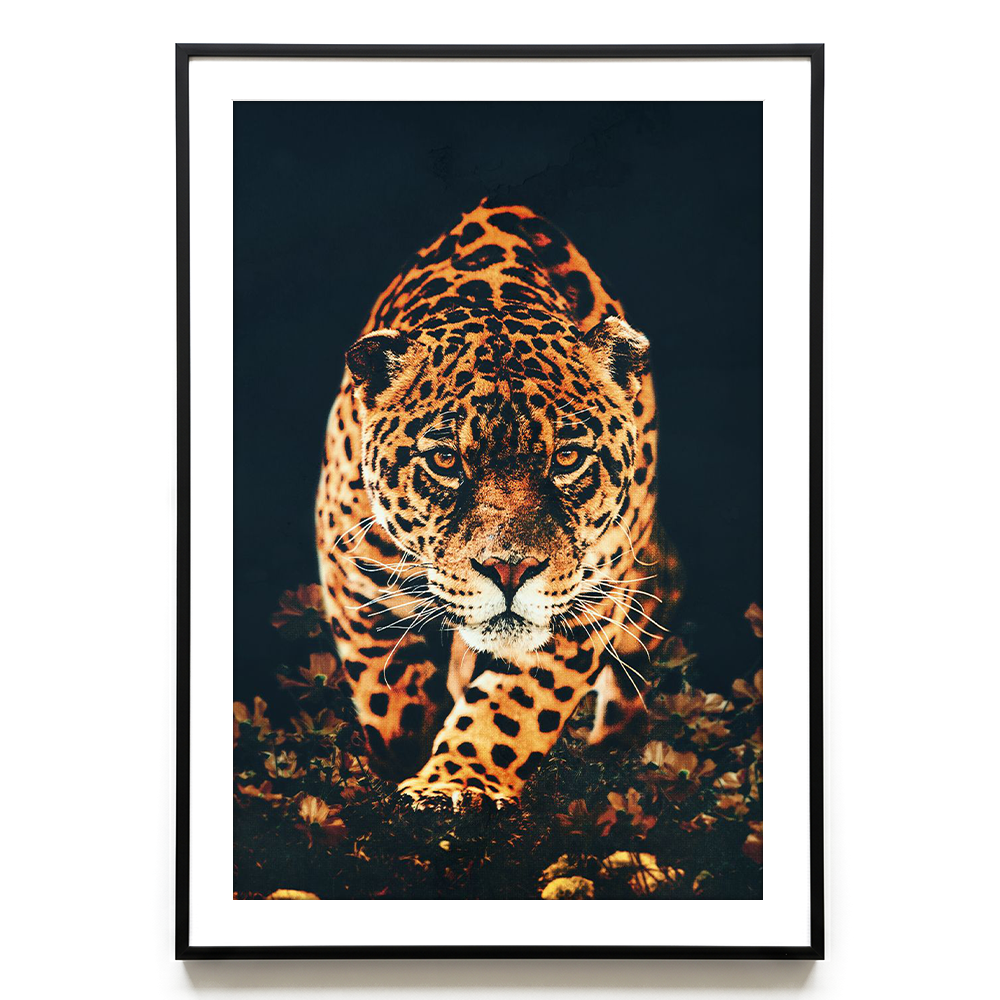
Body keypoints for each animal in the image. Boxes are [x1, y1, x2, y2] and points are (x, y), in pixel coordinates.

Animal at [315, 199, 682, 810]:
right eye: (445, 460)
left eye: (566, 458)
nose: (509, 571)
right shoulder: (355, 571)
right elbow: (388, 687)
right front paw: (403, 758)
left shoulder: (588, 597)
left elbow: (515, 707)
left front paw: (456, 782)